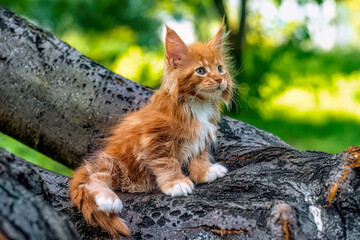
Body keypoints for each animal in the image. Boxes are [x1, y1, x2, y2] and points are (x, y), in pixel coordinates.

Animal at [70, 23, 233, 235]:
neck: (198, 105)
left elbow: (199, 155)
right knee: (93, 178)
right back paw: (108, 200)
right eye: (201, 71)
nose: (219, 79)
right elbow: (166, 162)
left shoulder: (202, 136)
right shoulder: (155, 139)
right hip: (114, 163)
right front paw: (176, 182)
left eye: (220, 68)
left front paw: (205, 171)